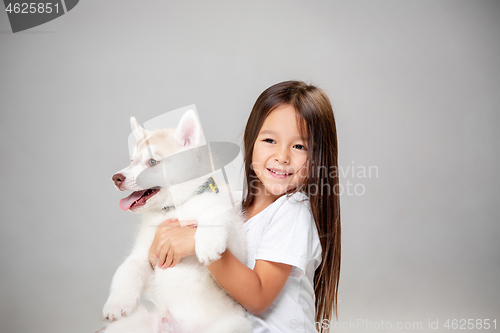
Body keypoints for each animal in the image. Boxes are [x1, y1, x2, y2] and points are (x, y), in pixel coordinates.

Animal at [102, 111, 250, 332]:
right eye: (132, 161)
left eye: (152, 162)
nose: (116, 178)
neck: (176, 207)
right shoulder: (144, 252)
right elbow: (127, 269)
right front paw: (117, 303)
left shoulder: (238, 248)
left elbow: (214, 209)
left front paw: (208, 244)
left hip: (231, 324)